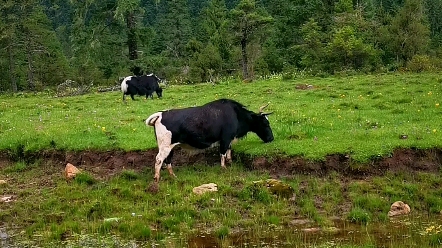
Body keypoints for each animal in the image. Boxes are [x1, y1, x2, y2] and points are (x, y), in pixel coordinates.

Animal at [144, 98, 272, 182]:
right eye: (265, 123)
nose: (271, 138)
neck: (235, 114)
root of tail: (161, 114)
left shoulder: (228, 139)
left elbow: (229, 151)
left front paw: (230, 162)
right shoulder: (225, 138)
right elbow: (222, 153)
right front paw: (224, 168)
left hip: (171, 147)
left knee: (168, 160)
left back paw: (173, 176)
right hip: (165, 146)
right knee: (159, 159)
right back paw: (157, 178)